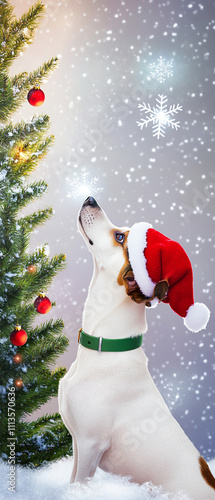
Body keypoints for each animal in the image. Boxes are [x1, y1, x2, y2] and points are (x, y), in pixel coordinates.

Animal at [58, 197, 214, 498]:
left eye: (120, 237)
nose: (91, 199)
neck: (105, 350)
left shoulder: (90, 444)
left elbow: (78, 486)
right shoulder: (78, 443)